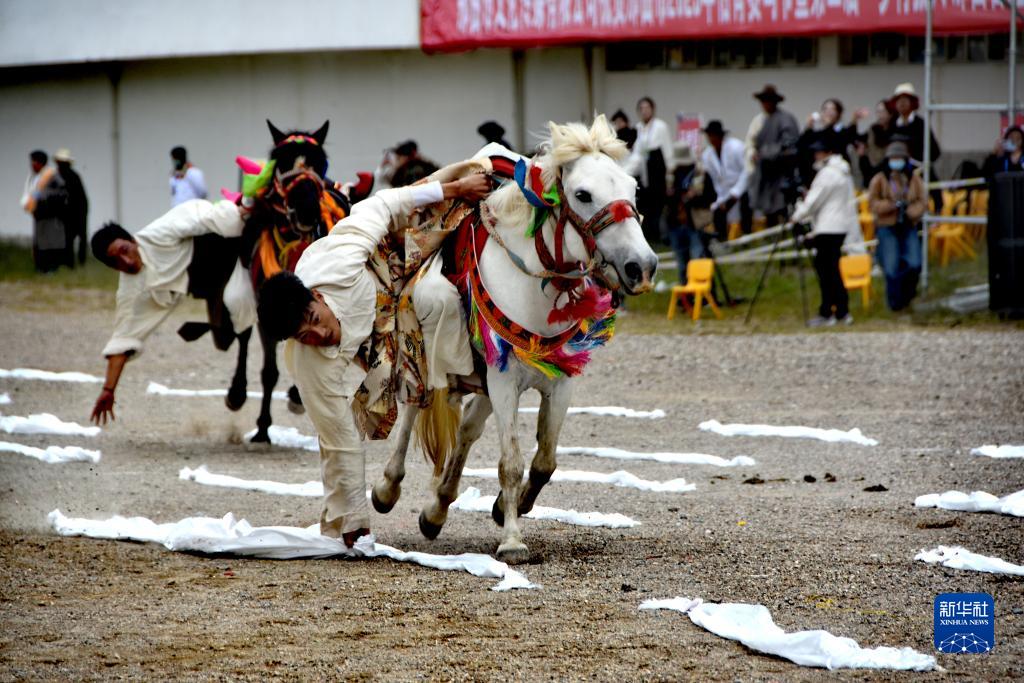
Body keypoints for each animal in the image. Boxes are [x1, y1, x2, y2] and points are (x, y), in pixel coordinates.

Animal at [370, 118, 655, 565]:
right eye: (583, 194)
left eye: (633, 189)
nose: (641, 266)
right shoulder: (503, 382)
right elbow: (511, 462)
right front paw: (513, 541)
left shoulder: (559, 383)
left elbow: (545, 462)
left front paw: (510, 507)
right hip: (429, 358)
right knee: (413, 412)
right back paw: (387, 488)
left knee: (467, 431)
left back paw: (437, 510)